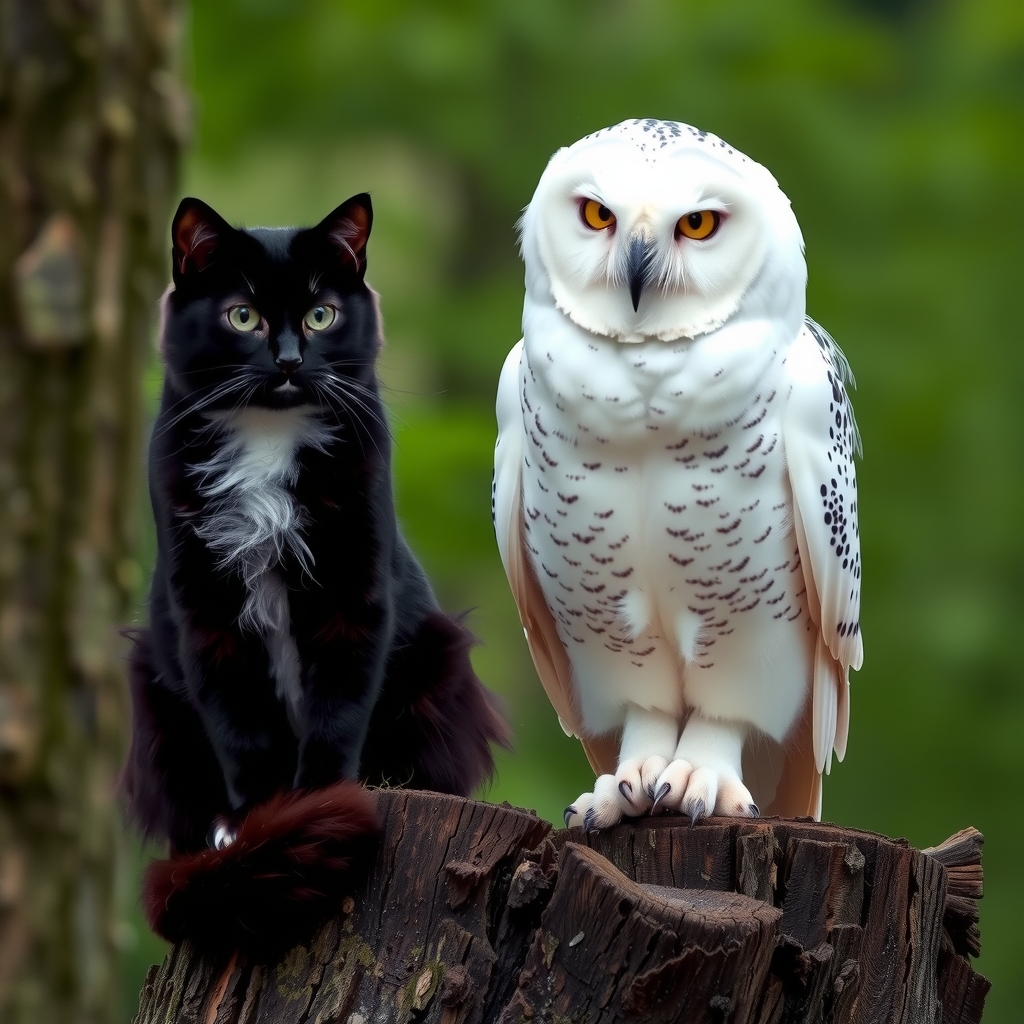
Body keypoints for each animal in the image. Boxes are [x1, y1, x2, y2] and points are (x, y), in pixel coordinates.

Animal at [123, 190, 507, 942]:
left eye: (321, 314)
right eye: (242, 315)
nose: (290, 360)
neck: (267, 440)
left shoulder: (353, 589)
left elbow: (338, 701)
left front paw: (322, 797)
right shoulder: (204, 604)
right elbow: (241, 721)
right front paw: (259, 819)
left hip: (436, 658)